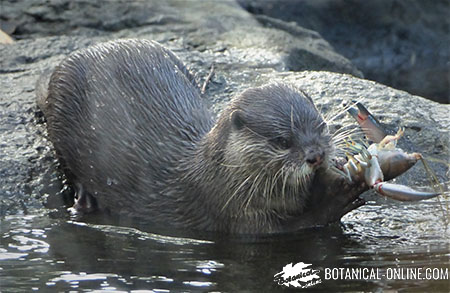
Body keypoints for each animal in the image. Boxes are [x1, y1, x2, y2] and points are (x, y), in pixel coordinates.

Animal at [37, 38, 364, 233]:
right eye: (282, 141)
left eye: (322, 127)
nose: (315, 155)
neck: (222, 177)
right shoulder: (233, 212)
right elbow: (298, 225)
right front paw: (338, 195)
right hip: (61, 113)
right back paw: (84, 200)